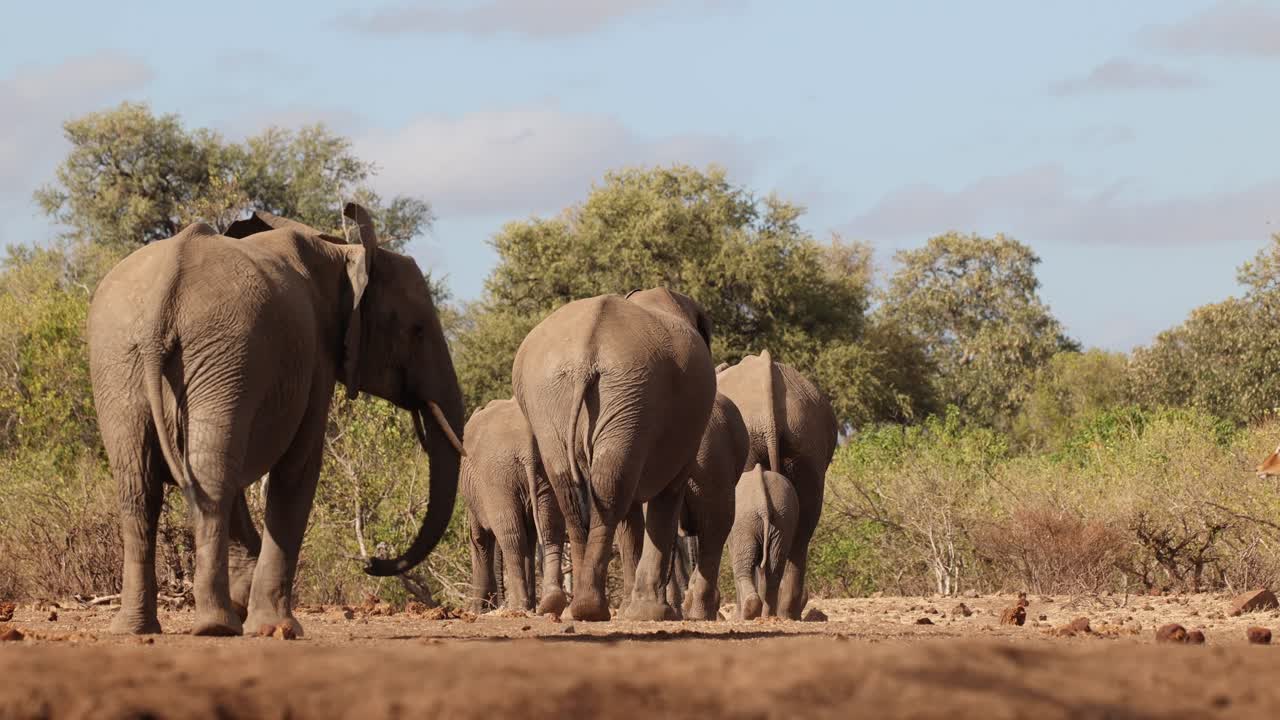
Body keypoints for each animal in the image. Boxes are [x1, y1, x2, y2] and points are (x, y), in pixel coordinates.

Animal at [87, 204, 465, 636]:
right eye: (417, 329)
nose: (371, 562)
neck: (341, 252)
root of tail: (163, 297)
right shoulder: (316, 358)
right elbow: (300, 465)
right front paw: (278, 628)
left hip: (122, 359)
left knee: (141, 485)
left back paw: (136, 628)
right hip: (217, 349)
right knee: (209, 478)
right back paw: (216, 627)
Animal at [460, 398, 568, 616]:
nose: (496, 602)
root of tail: (527, 447)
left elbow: (479, 538)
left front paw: (479, 610)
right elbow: (530, 537)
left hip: (498, 477)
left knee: (511, 536)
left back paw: (517, 606)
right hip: (546, 470)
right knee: (550, 529)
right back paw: (550, 603)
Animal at [512, 288, 716, 622]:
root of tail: (585, 354)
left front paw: (636, 610)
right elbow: (668, 494)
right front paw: (651, 613)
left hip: (563, 398)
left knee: (580, 492)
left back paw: (582, 610)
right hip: (628, 391)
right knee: (610, 490)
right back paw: (592, 610)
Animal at [729, 463, 799, 620]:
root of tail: (763, 506)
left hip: (744, 522)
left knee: (742, 567)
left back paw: (748, 613)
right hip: (783, 520)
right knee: (775, 568)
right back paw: (768, 616)